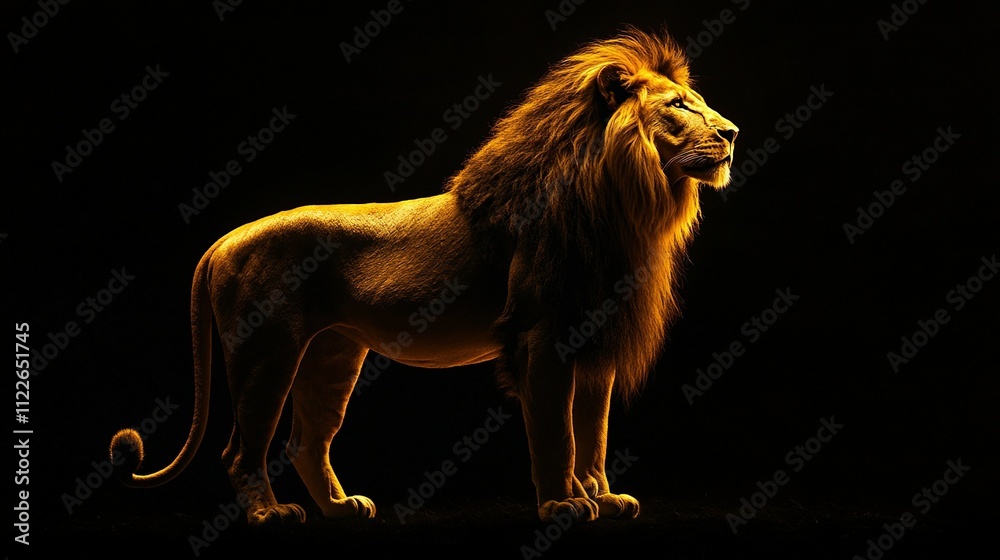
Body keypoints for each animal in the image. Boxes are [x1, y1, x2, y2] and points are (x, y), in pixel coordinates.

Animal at [110, 28, 737, 526]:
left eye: (700, 104)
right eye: (680, 106)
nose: (732, 132)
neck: (625, 202)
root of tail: (222, 241)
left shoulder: (596, 341)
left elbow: (594, 434)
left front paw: (601, 498)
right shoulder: (543, 339)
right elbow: (557, 432)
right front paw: (563, 504)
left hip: (332, 353)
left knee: (307, 441)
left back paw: (341, 509)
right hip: (265, 353)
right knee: (242, 452)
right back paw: (270, 515)